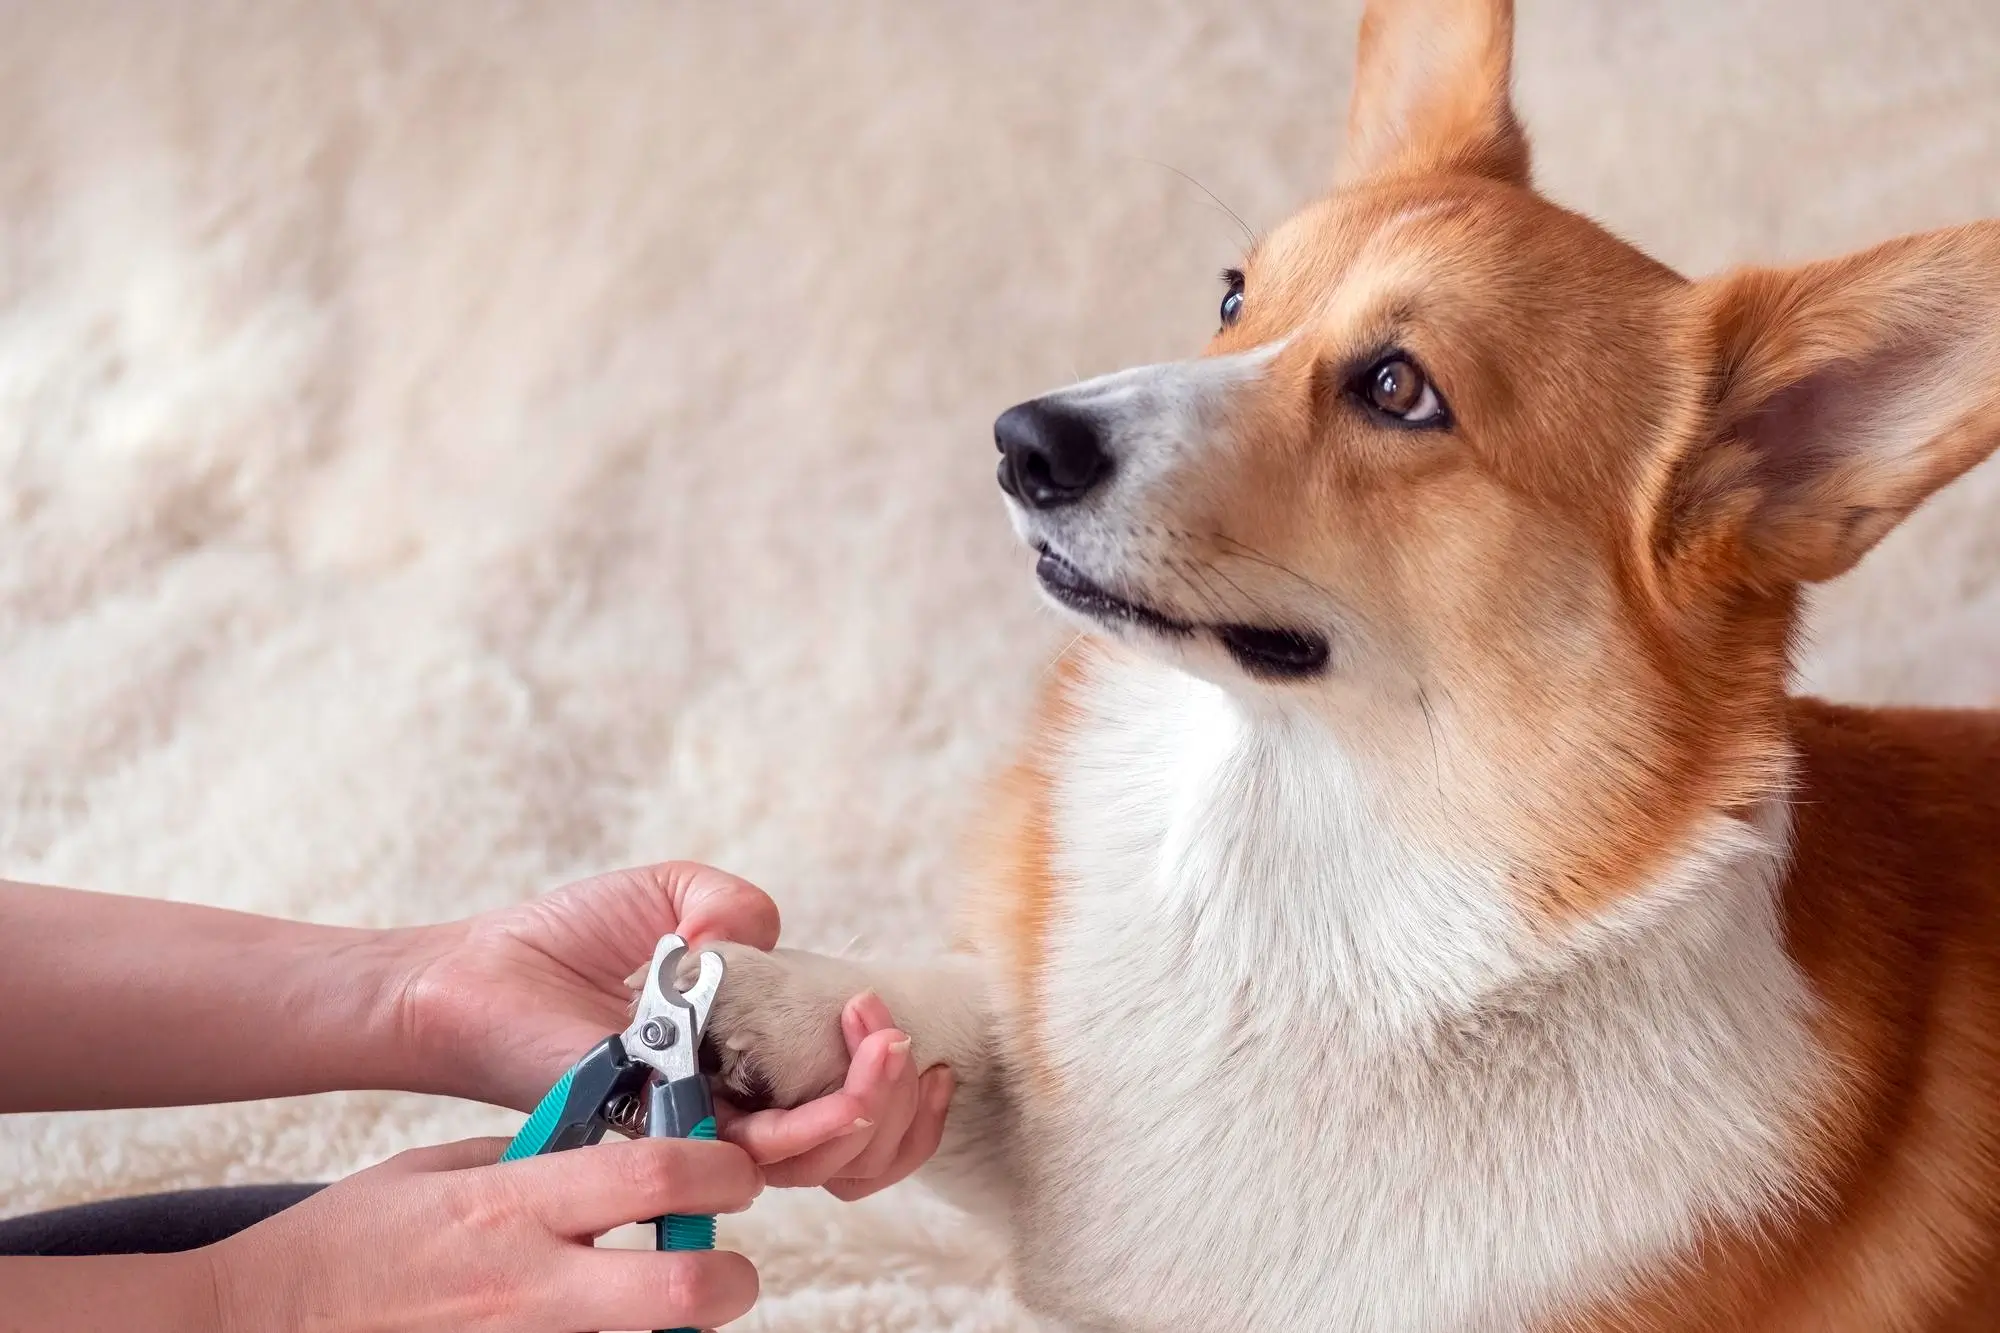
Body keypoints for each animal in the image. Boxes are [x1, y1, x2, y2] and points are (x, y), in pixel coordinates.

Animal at [696, 0, 2000, 1320]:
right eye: (1232, 298)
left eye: (1396, 388)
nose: (1021, 441)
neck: (1297, 883)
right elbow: (971, 1020)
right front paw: (772, 995)